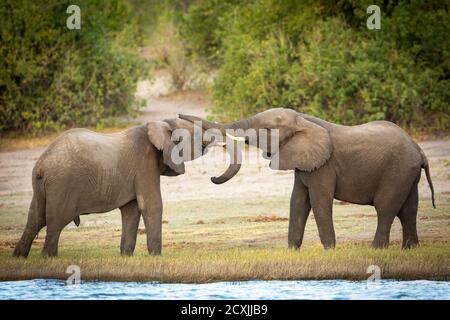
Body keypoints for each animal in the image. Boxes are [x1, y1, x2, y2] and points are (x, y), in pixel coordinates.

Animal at [12, 117, 241, 258]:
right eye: (197, 134)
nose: (213, 177)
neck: (159, 124)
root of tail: (42, 164)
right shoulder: (144, 164)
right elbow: (152, 205)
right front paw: (156, 257)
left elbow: (131, 210)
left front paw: (126, 257)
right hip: (63, 185)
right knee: (55, 222)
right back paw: (48, 258)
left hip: (41, 186)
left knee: (35, 219)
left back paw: (19, 259)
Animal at [180, 109, 436, 250]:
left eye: (267, 130)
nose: (213, 177)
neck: (304, 120)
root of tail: (419, 149)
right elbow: (298, 202)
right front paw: (292, 251)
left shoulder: (323, 166)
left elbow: (319, 202)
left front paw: (330, 251)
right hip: (407, 173)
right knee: (409, 209)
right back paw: (410, 249)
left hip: (397, 170)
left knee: (386, 209)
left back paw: (375, 251)